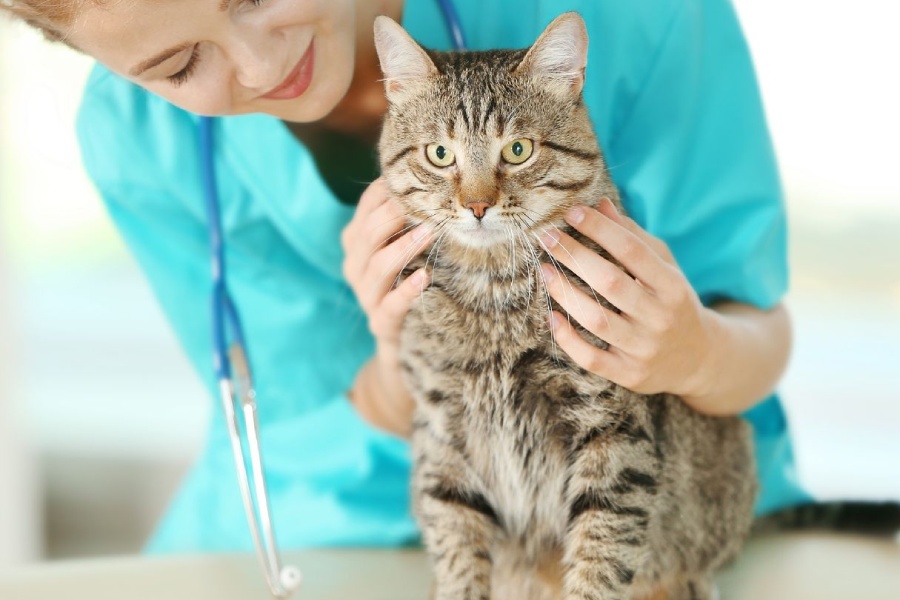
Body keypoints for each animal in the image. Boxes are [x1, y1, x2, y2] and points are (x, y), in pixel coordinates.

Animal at [372, 14, 760, 600]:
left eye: (518, 150)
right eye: (440, 154)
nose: (477, 205)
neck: (493, 291)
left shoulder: (611, 431)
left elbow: (601, 555)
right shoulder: (443, 434)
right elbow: (456, 543)